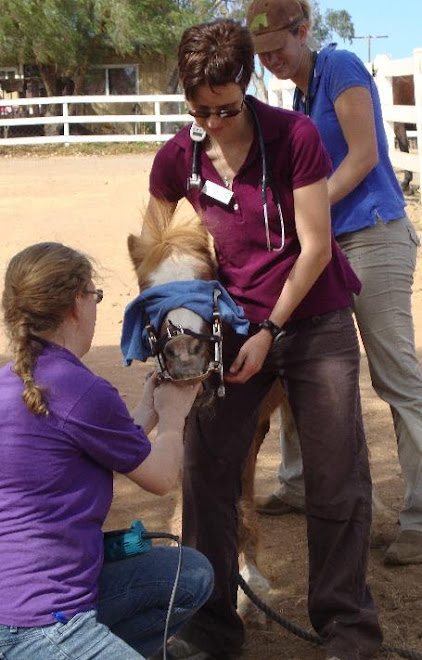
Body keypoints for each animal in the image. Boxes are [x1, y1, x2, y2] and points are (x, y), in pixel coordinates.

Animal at [126, 204, 296, 628]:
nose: (187, 358)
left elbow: (239, 498)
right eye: (147, 291)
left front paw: (250, 584)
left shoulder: (246, 429)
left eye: (209, 281)